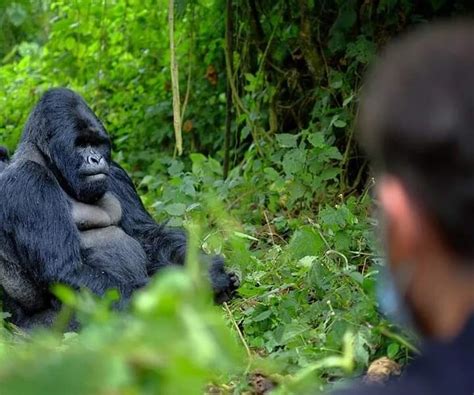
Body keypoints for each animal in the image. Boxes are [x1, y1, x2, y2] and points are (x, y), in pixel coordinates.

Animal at [0, 88, 239, 330]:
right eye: (80, 144)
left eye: (96, 143)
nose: (96, 159)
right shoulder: (29, 182)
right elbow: (66, 270)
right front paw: (198, 284)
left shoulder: (115, 171)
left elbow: (147, 234)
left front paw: (203, 267)